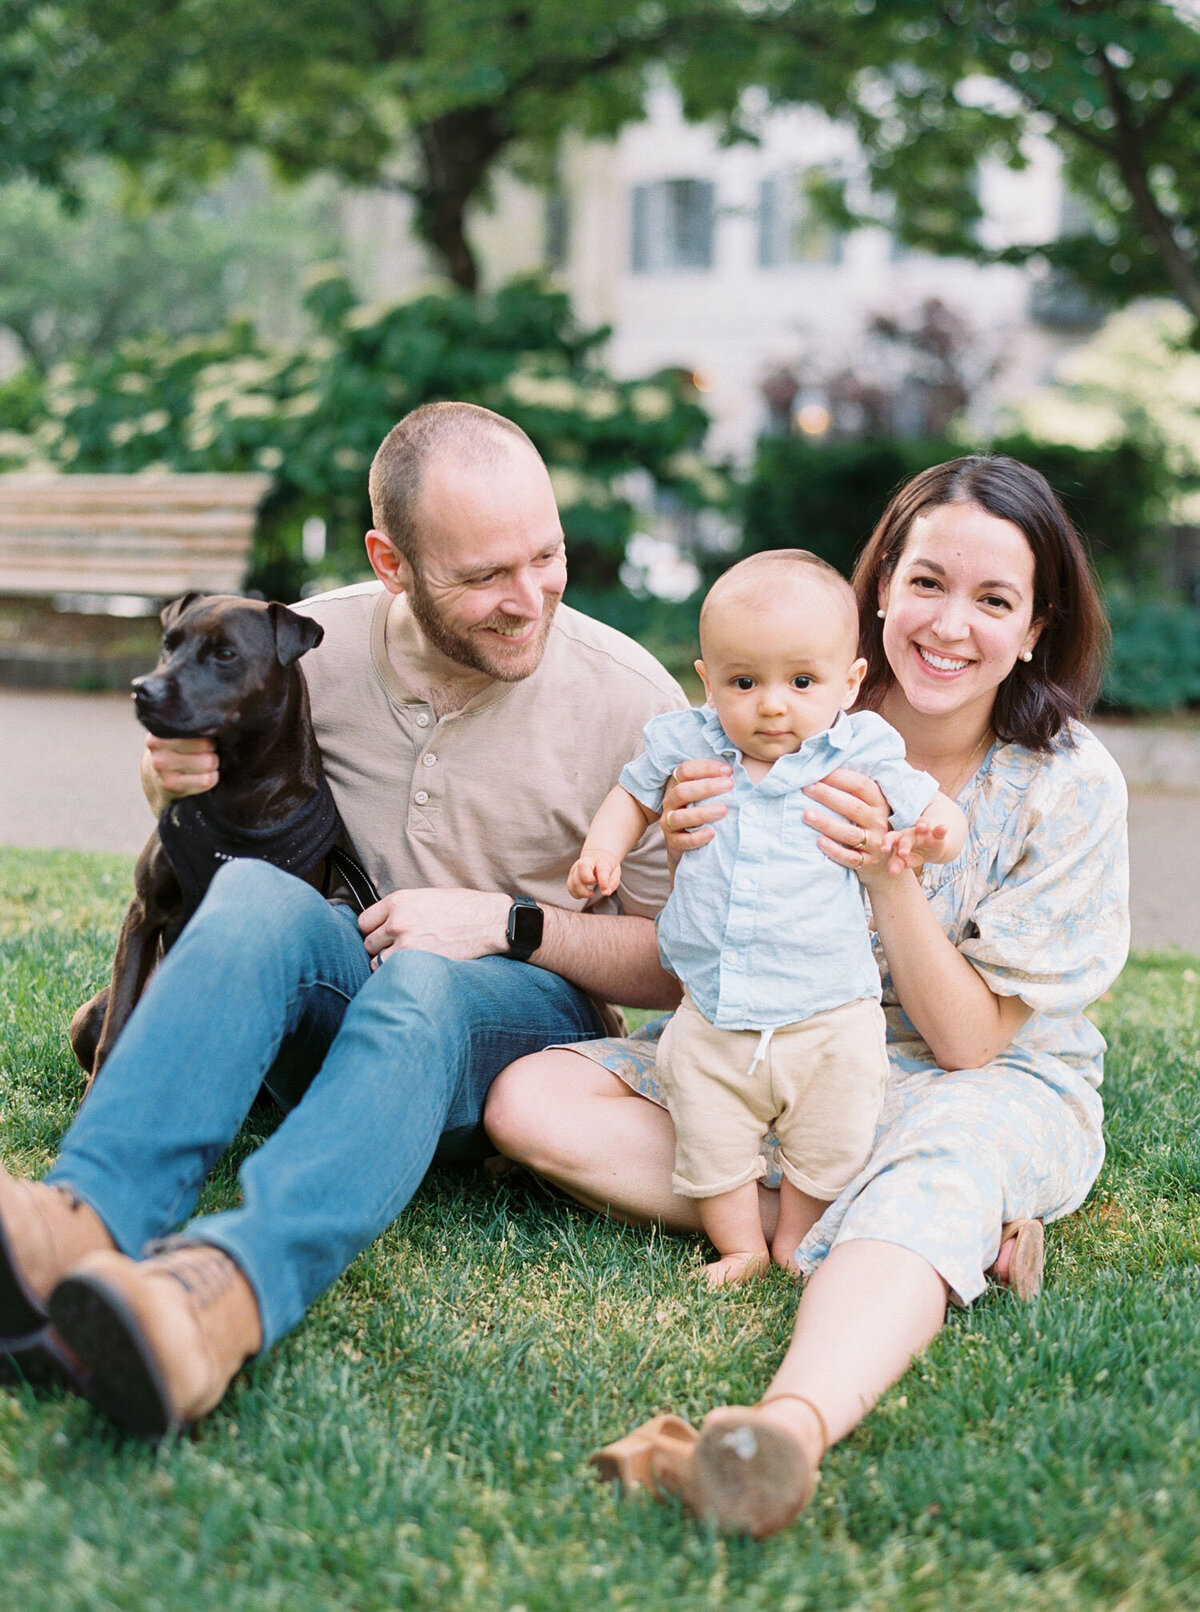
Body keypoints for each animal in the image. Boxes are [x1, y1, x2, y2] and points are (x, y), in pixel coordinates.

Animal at [67, 593, 361, 1083]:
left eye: (225, 653)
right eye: (168, 643)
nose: (142, 689)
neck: (237, 788)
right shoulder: (142, 915)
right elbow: (115, 1037)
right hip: (87, 1013)